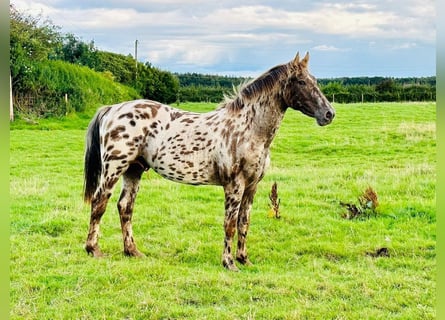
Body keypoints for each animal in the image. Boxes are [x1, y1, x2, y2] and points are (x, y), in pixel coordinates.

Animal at [82, 51, 332, 272]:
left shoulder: (252, 186)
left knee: (125, 207)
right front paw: (229, 263)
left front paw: (244, 259)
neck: (248, 129)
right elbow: (229, 224)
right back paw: (93, 249)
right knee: (99, 203)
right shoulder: (234, 185)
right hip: (114, 169)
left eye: (315, 80)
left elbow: (244, 222)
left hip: (133, 170)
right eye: (301, 81)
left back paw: (132, 251)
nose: (329, 114)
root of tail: (112, 109)